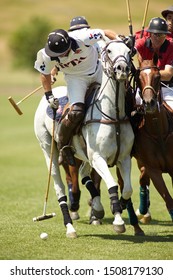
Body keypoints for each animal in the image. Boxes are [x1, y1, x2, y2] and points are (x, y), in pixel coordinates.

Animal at [34, 39, 134, 235]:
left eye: (128, 51)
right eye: (109, 51)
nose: (122, 69)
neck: (114, 115)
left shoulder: (124, 158)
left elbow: (127, 189)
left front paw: (118, 207)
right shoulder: (98, 157)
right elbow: (112, 185)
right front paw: (118, 221)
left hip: (84, 154)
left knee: (83, 173)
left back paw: (97, 208)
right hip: (49, 150)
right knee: (59, 187)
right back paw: (69, 226)